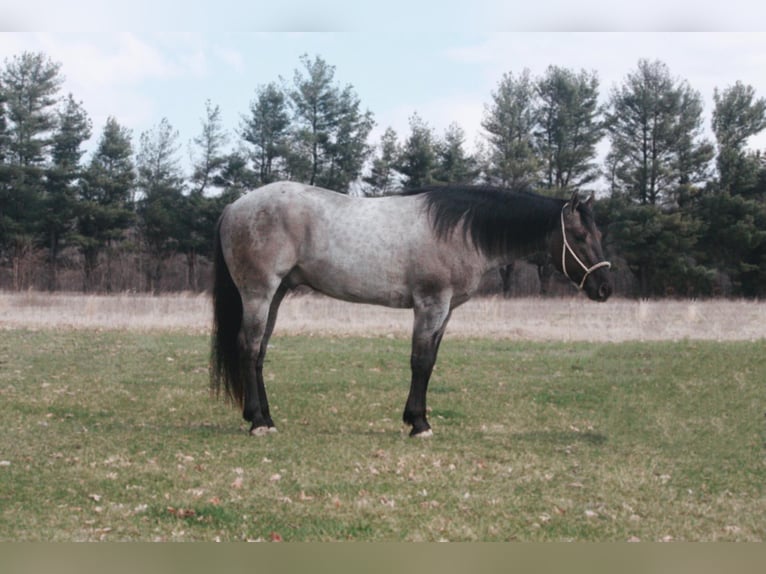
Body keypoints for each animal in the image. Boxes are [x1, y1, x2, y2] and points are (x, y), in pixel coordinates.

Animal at [208, 182, 612, 438]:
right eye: (579, 236)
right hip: (259, 292)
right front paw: (419, 424)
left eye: (598, 235)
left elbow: (430, 362)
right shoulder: (430, 305)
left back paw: (265, 416)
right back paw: (258, 422)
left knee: (260, 352)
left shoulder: (445, 311)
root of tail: (232, 207)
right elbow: (420, 362)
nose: (605, 288)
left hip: (275, 295)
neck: (458, 232)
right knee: (248, 348)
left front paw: (415, 418)